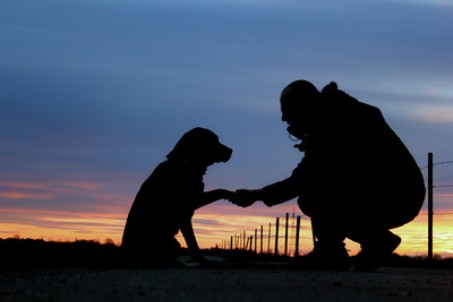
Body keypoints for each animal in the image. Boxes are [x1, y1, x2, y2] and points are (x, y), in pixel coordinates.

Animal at [121, 127, 233, 266]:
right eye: (214, 141)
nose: (231, 150)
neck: (185, 164)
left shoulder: (195, 200)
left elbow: (219, 190)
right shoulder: (185, 213)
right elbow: (193, 242)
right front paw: (202, 260)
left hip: (174, 243)